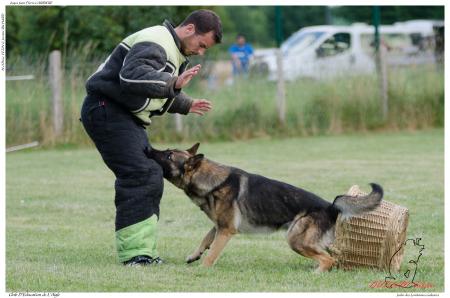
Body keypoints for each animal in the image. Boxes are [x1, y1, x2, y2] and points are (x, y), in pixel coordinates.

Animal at [145, 143, 384, 272]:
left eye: (168, 155)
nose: (147, 148)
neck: (212, 181)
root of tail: (330, 206)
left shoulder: (226, 230)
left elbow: (212, 254)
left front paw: (203, 269)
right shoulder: (220, 226)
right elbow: (205, 239)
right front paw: (194, 255)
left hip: (295, 239)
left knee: (329, 259)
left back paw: (316, 272)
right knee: (332, 255)